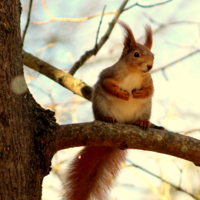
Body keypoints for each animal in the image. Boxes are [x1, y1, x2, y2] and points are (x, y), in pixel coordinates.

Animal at [62, 20, 155, 200]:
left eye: (153, 55)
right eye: (136, 54)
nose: (149, 66)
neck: (134, 73)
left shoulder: (149, 81)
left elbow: (150, 90)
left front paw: (139, 93)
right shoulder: (108, 74)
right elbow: (107, 84)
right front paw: (121, 94)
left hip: (145, 108)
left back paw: (142, 122)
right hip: (101, 104)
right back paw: (108, 119)